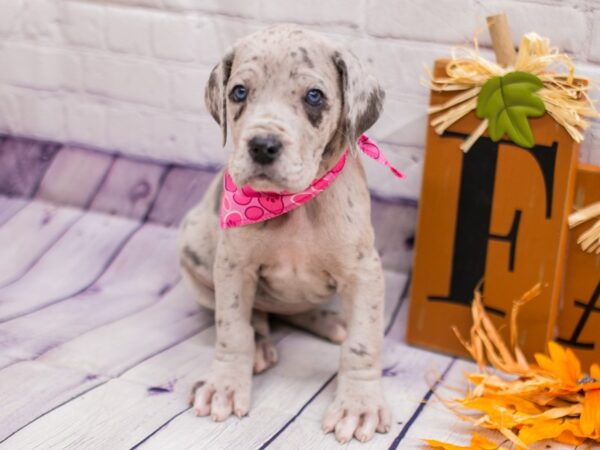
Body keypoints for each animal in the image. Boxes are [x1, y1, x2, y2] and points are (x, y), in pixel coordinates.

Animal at [178, 24, 392, 442]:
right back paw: (262, 342)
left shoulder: (363, 272)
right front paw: (225, 384)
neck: (293, 205)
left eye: (314, 96)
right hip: (195, 256)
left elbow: (362, 344)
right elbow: (232, 329)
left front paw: (358, 406)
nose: (263, 145)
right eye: (238, 92)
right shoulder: (233, 266)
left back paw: (330, 321)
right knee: (257, 315)